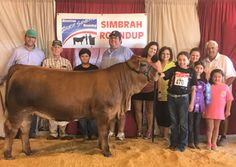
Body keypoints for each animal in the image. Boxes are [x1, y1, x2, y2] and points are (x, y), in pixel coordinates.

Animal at [2, 54, 159, 159]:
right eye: (144, 64)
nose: (159, 72)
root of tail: (21, 67)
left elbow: (101, 133)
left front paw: (100, 147)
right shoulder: (104, 113)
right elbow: (104, 132)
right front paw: (107, 152)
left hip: (27, 112)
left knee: (24, 130)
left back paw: (28, 151)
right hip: (17, 111)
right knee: (11, 130)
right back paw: (8, 154)